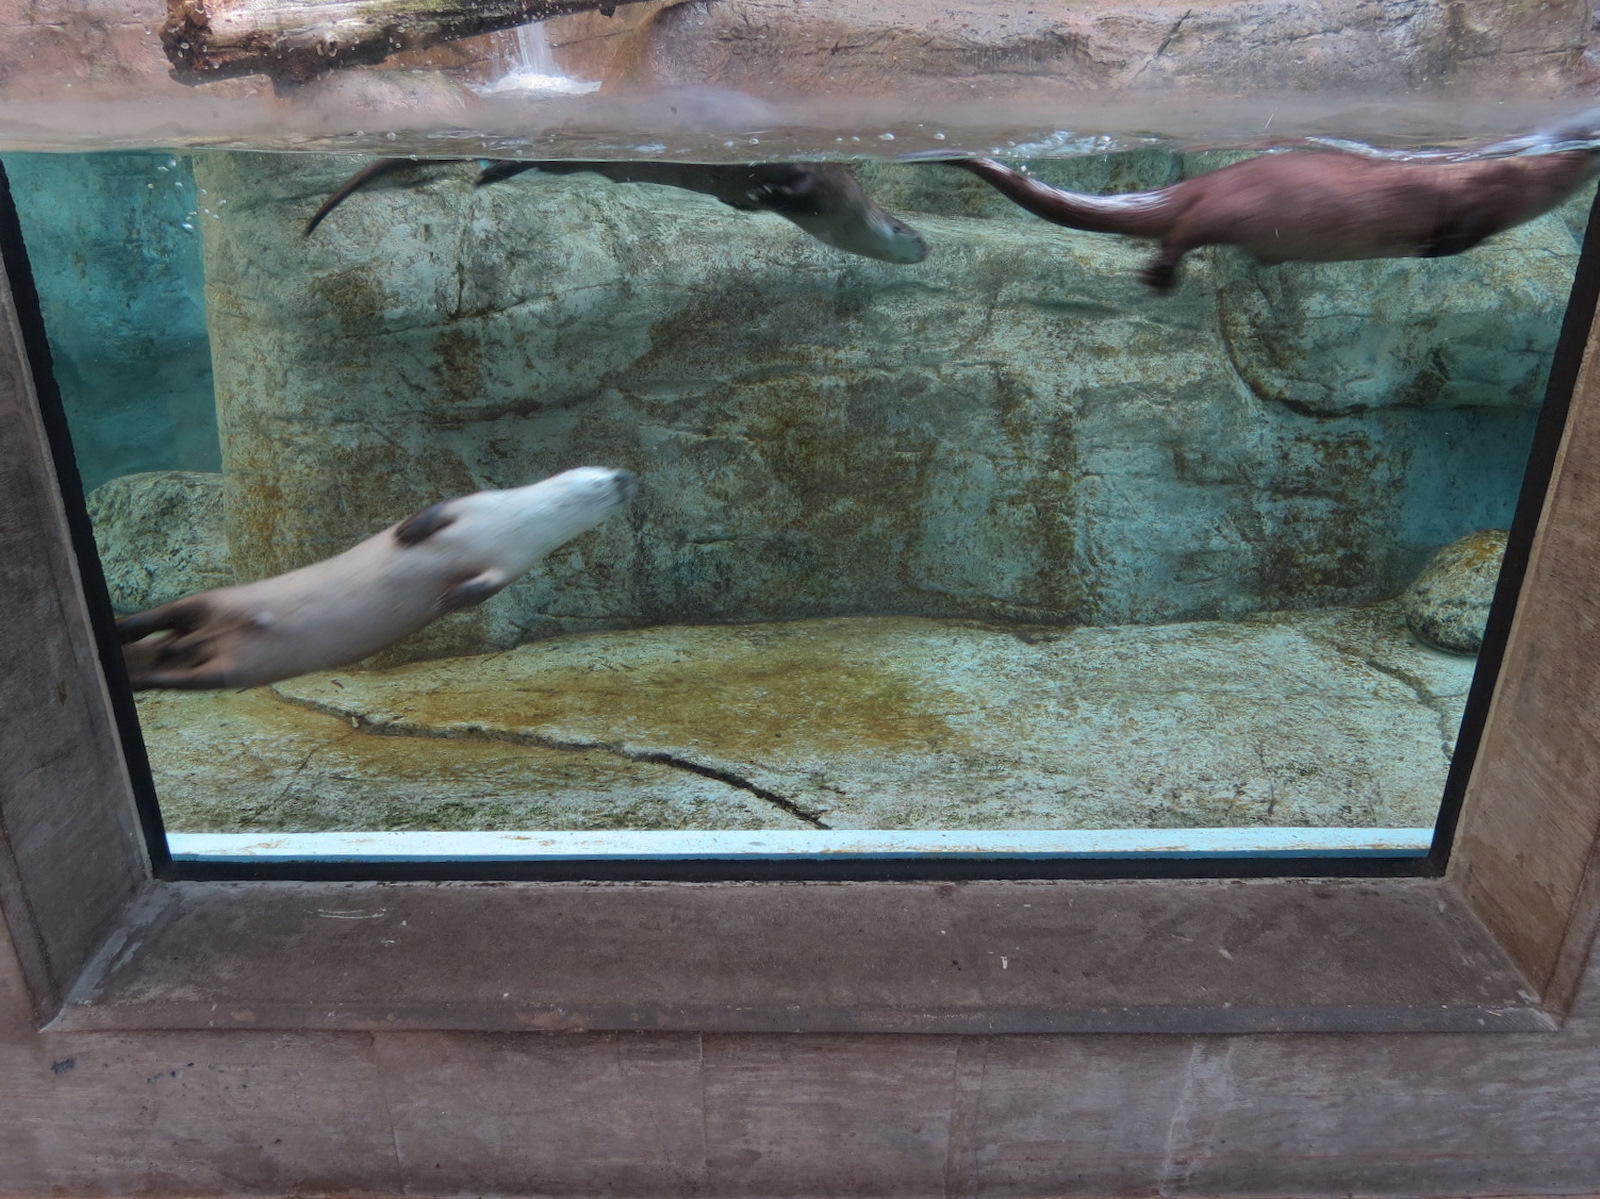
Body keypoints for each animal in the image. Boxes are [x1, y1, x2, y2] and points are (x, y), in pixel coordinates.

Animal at [119, 467, 637, 690]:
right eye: (608, 475)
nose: (630, 476)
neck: (521, 522)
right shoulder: (472, 505)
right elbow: (426, 516)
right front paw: (407, 535)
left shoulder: (510, 567)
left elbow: (479, 591)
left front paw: (449, 598)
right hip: (219, 600)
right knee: (169, 615)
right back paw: (125, 628)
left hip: (234, 667)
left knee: (178, 669)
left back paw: (147, 668)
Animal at [935, 122, 1600, 290]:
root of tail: (1208, 179)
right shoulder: (1474, 197)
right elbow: (1457, 232)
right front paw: (1437, 249)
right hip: (1230, 209)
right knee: (1181, 232)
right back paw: (1158, 277)